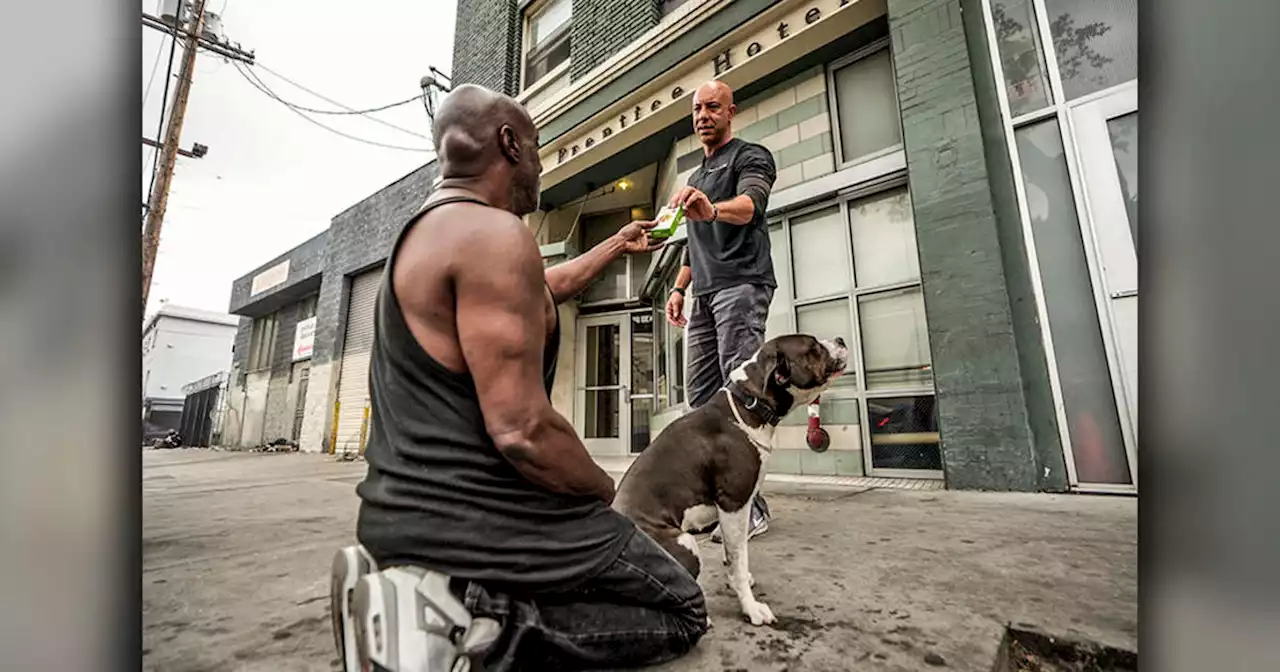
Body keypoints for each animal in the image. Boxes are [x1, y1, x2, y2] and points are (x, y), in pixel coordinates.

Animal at [611, 332, 844, 624]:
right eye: (813, 347)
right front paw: (751, 607)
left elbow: (732, 556)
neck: (750, 404)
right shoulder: (734, 504)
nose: (840, 338)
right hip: (684, 542)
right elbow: (738, 559)